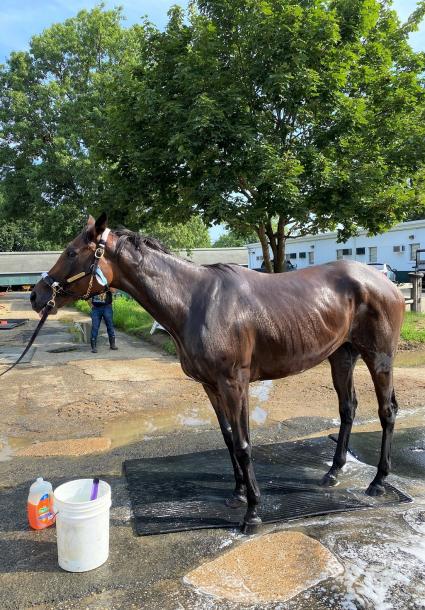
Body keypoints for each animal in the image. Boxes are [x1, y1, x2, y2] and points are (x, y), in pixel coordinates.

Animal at [30, 214, 404, 528]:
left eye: (71, 252)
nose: (36, 295)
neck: (196, 302)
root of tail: (386, 283)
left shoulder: (233, 383)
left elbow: (243, 443)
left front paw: (253, 512)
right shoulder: (210, 385)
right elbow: (227, 438)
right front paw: (238, 494)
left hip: (379, 357)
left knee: (386, 411)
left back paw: (378, 482)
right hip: (342, 356)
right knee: (348, 408)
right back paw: (333, 472)